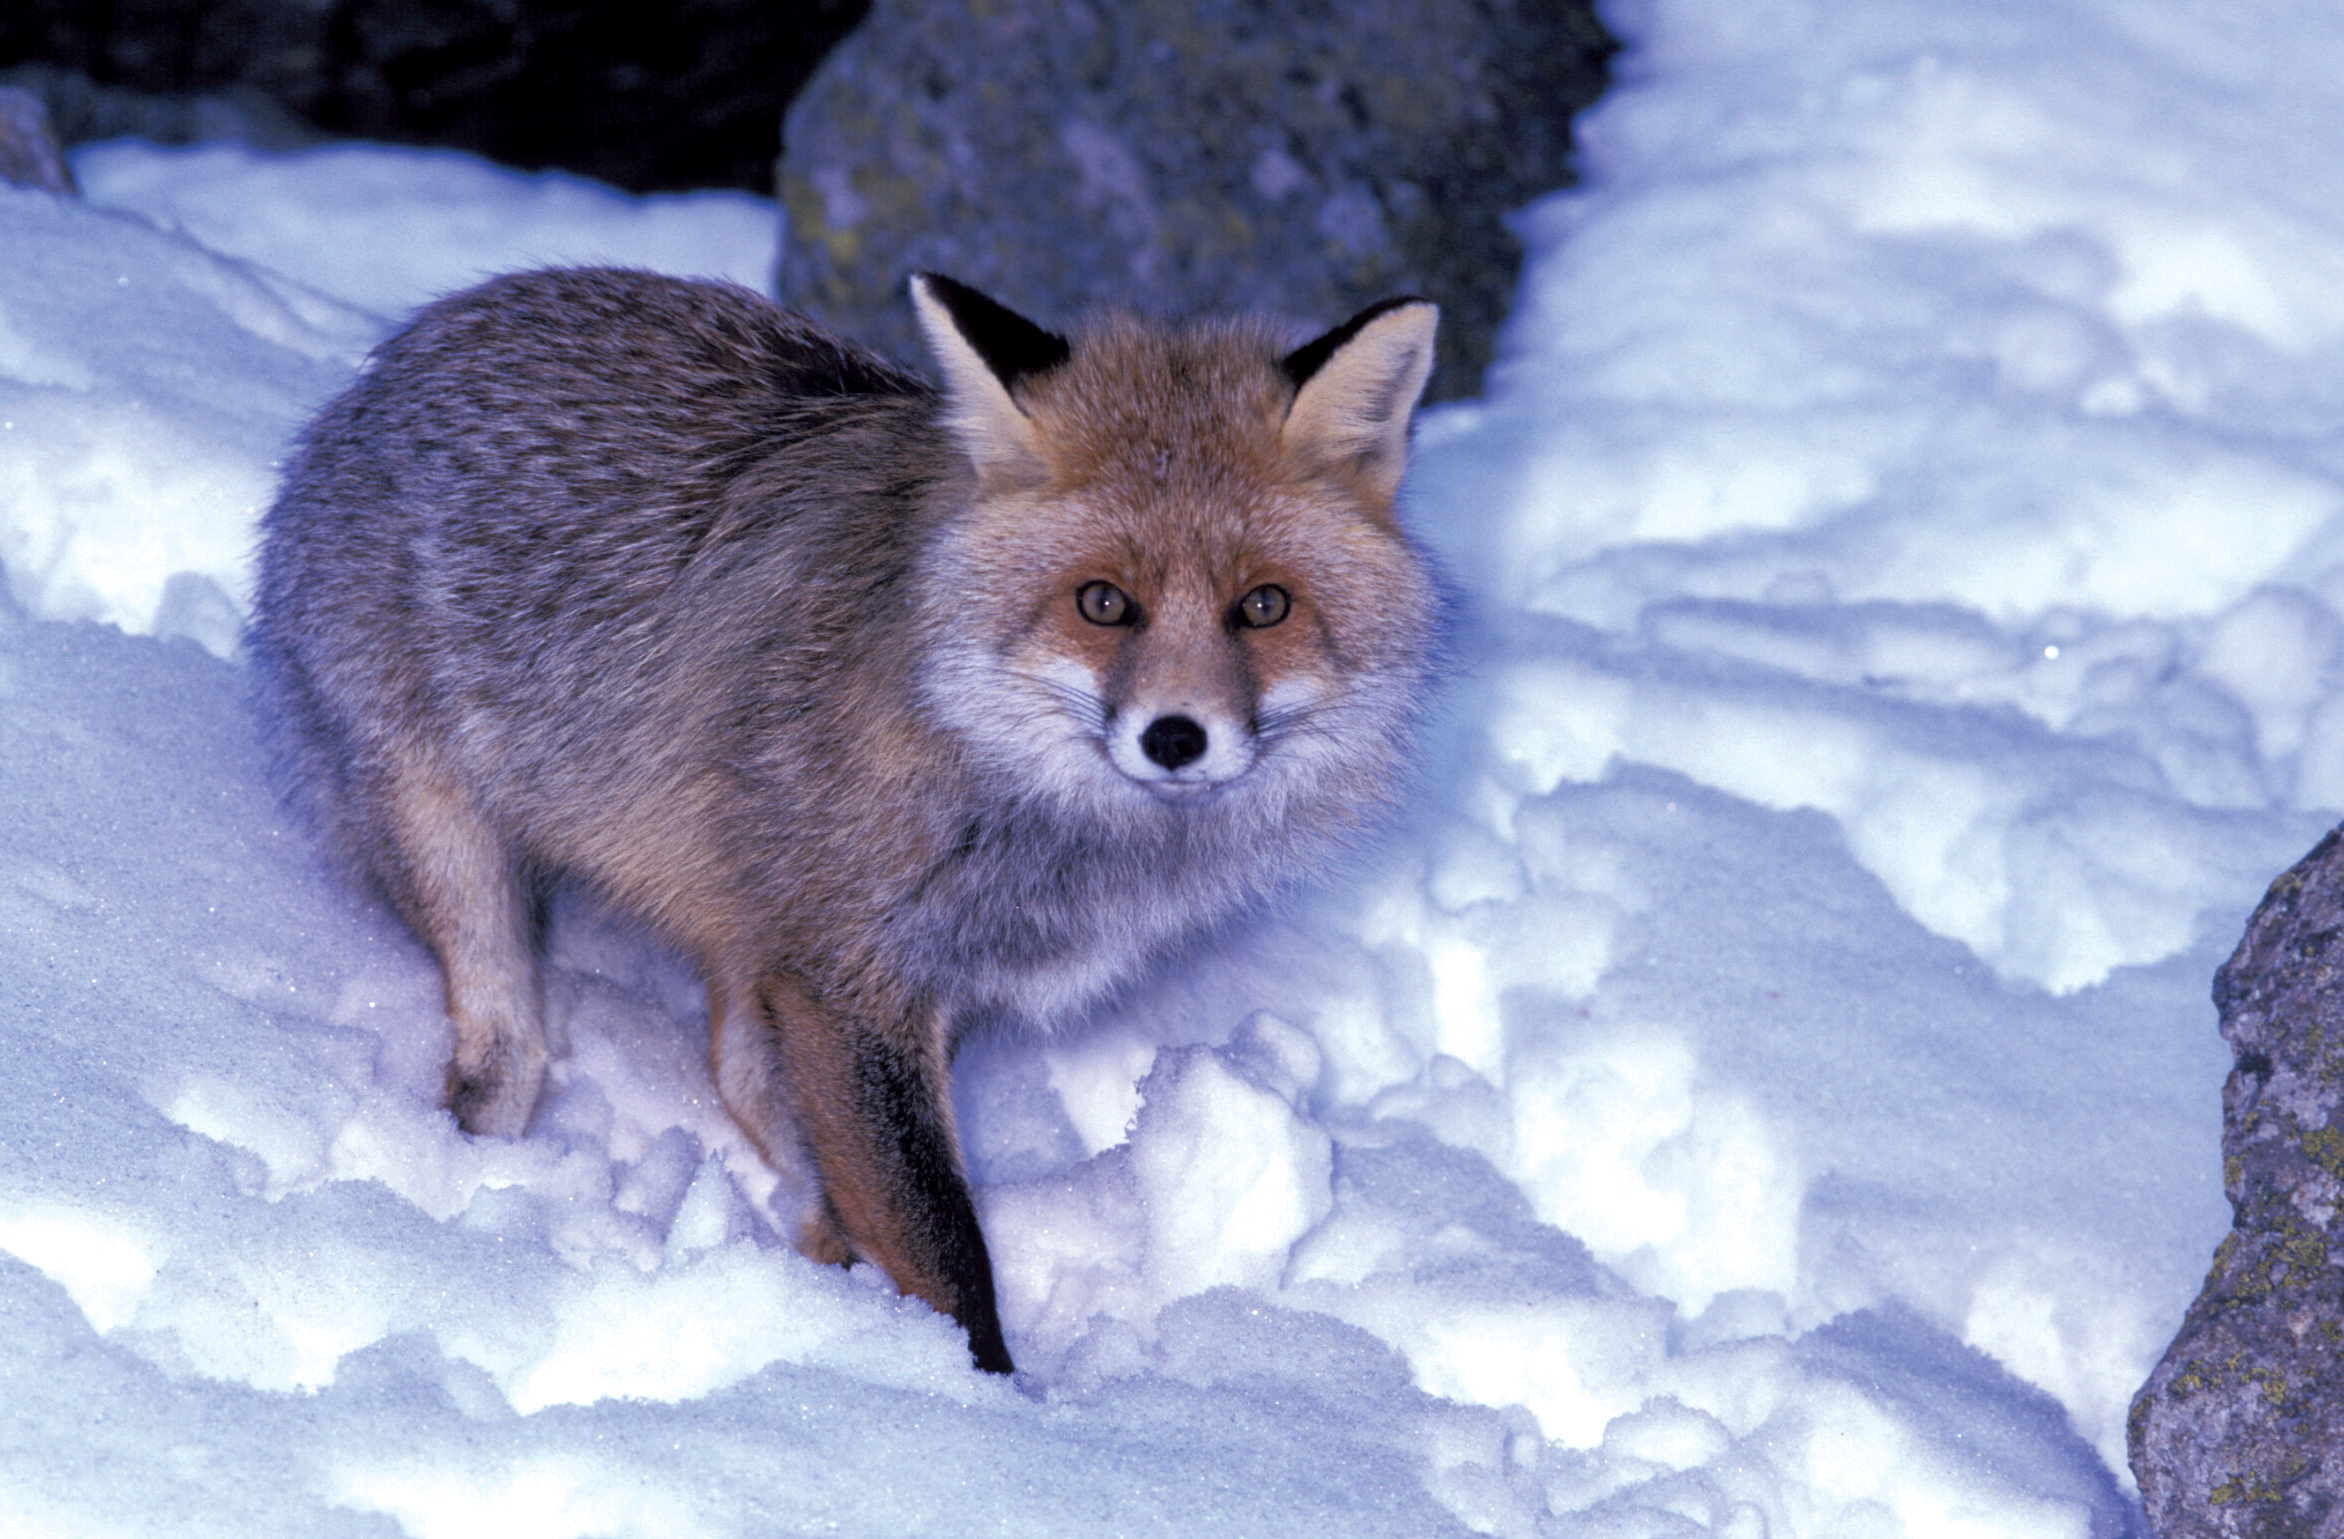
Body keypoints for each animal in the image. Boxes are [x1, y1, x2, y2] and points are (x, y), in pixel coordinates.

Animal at [246, 265, 1442, 1376]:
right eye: (1103, 603)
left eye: (1264, 607)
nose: (1178, 737)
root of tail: (418, 337)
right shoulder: (846, 983)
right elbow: (942, 1243)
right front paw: (983, 1405)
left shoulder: (891, 984)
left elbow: (872, 1194)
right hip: (464, 861)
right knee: (513, 1056)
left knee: (736, 1074)